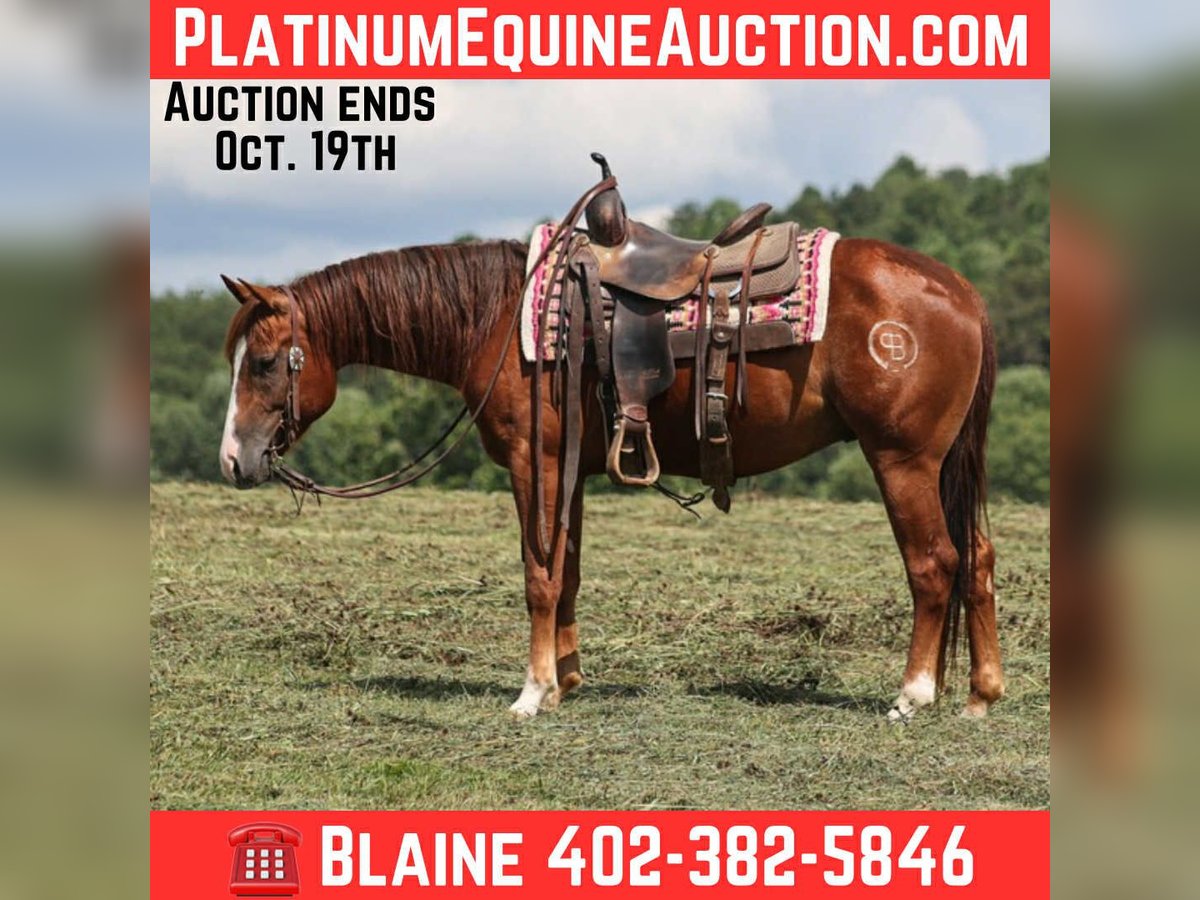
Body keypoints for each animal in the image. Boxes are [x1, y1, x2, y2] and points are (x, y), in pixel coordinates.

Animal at [217, 234, 1004, 722]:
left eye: (266, 362)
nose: (233, 460)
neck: (499, 321)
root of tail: (964, 292)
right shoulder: (569, 468)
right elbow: (567, 571)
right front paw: (565, 682)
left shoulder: (534, 463)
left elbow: (538, 574)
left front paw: (531, 692)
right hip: (943, 466)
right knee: (979, 559)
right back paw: (980, 693)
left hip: (901, 460)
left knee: (935, 564)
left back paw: (913, 695)